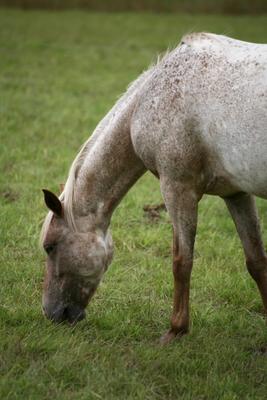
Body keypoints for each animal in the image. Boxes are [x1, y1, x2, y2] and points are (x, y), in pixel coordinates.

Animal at [40, 32, 267, 344]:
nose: (50, 314)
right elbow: (257, 261)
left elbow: (182, 261)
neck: (152, 97)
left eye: (50, 247)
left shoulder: (177, 188)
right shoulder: (236, 193)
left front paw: (175, 330)